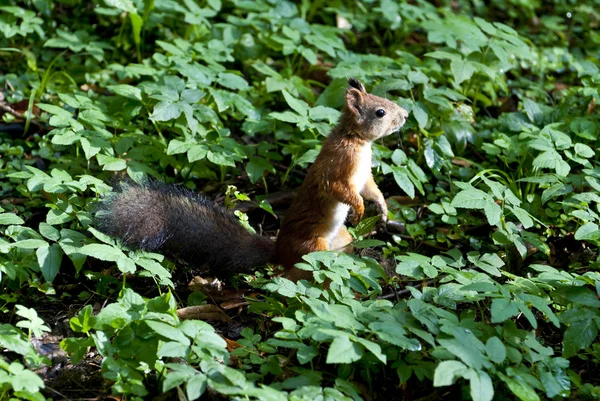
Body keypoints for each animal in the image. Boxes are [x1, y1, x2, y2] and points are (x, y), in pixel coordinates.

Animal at [96, 77, 410, 278]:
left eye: (385, 100)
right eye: (380, 112)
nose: (406, 115)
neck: (356, 140)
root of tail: (279, 251)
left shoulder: (364, 175)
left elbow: (370, 188)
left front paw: (382, 208)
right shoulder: (338, 167)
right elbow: (340, 189)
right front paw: (359, 209)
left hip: (341, 241)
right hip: (312, 248)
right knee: (295, 275)